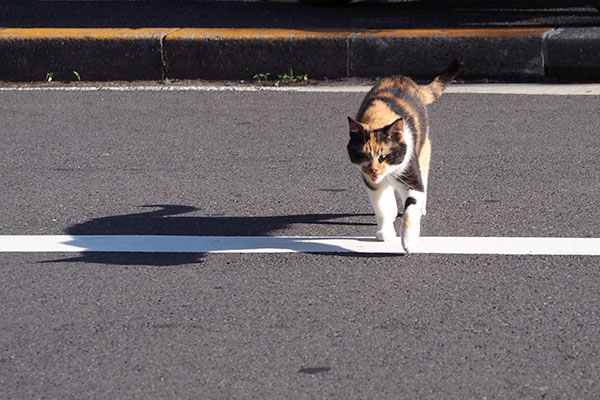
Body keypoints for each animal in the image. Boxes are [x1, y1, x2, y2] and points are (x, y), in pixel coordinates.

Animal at [346, 56, 464, 253]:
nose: (374, 171)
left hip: (424, 152)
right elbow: (382, 208)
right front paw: (385, 233)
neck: (379, 119)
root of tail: (404, 78)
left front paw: (408, 241)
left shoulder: (411, 177)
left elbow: (410, 210)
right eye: (364, 156)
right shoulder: (373, 185)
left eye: (384, 156)